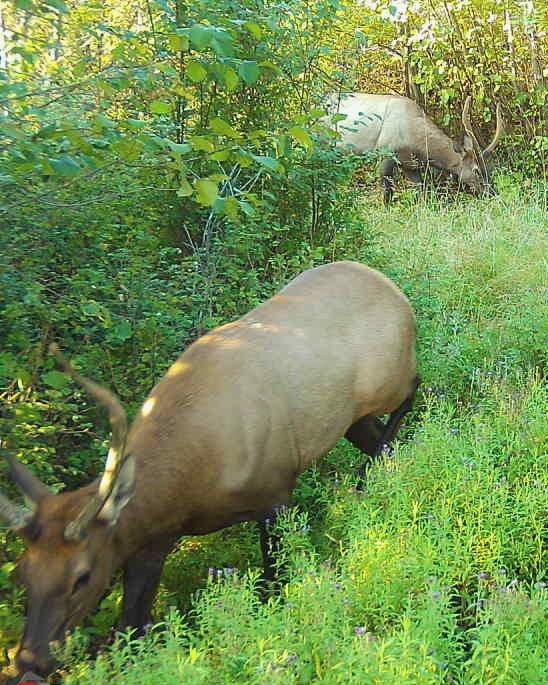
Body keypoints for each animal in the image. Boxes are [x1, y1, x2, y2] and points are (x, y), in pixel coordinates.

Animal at [0, 260, 419, 677]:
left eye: (82, 575)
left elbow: (274, 583)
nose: (29, 659)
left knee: (413, 392)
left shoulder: (275, 492)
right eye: (21, 572)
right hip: (351, 418)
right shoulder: (152, 539)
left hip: (388, 382)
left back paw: (366, 481)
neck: (189, 487)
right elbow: (131, 625)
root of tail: (393, 289)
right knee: (384, 442)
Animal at [322, 93, 503, 203]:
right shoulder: (385, 153)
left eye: (489, 169)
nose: (493, 193)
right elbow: (387, 193)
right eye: (476, 170)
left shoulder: (410, 166)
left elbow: (421, 193)